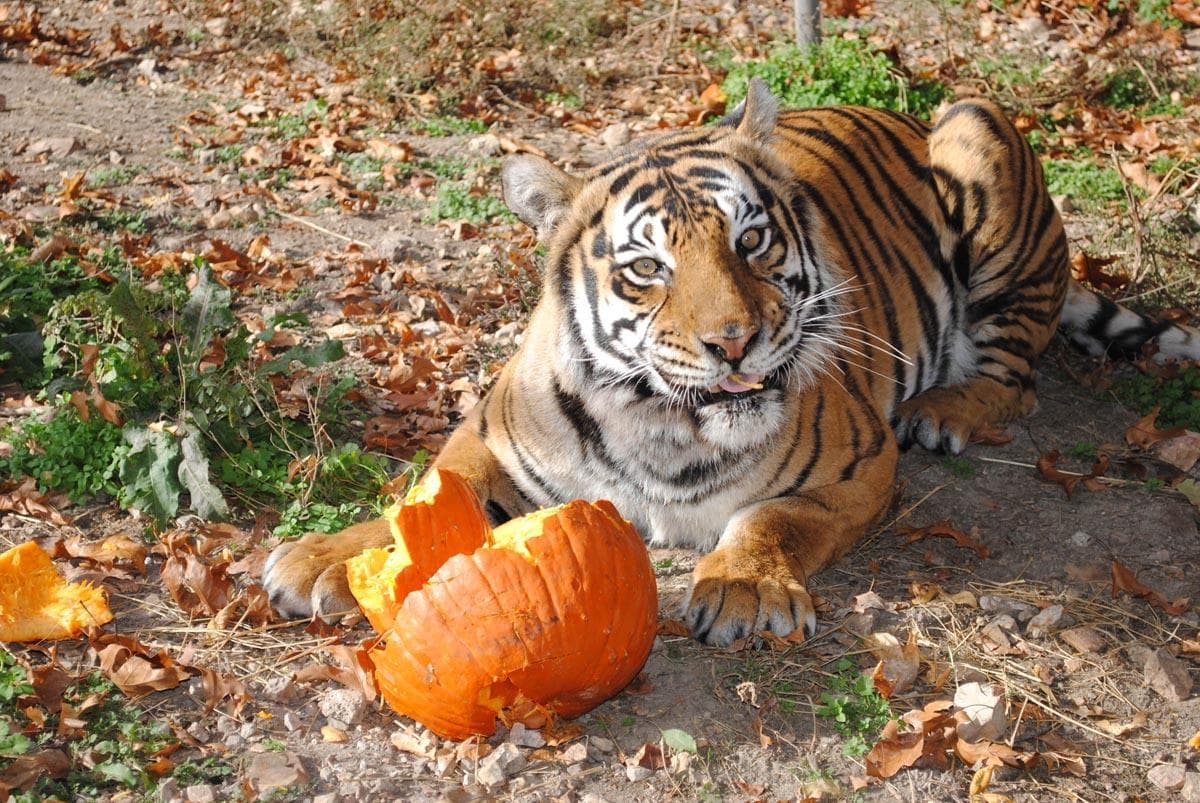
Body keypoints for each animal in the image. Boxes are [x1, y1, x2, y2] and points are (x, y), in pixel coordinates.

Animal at [263, 79, 1200, 648]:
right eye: (647, 268)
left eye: (751, 241)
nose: (735, 340)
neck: (657, 424)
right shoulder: (489, 440)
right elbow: (425, 496)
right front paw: (324, 559)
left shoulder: (861, 461)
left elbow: (769, 518)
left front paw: (744, 587)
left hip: (976, 132)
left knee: (1017, 377)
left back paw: (947, 410)